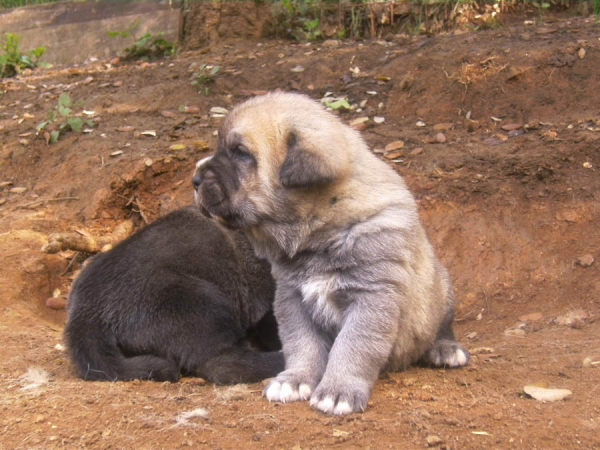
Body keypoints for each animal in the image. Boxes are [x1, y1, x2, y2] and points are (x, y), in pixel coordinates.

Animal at [195, 91, 472, 414]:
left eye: (240, 153)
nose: (195, 181)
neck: (322, 231)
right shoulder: (291, 298)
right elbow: (301, 344)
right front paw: (294, 380)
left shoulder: (372, 297)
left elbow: (352, 345)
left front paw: (339, 391)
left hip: (441, 288)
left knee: (442, 325)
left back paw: (445, 349)